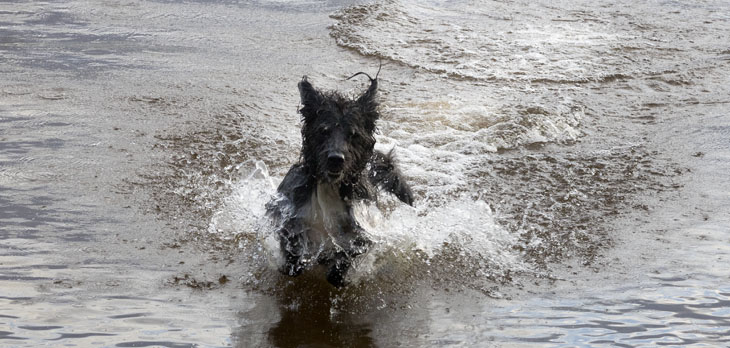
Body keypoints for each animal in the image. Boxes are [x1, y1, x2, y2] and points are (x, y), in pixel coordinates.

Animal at [266, 69, 416, 286]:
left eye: (353, 134)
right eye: (323, 131)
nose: (336, 159)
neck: (330, 187)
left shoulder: (362, 234)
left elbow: (341, 265)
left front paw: (338, 272)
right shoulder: (288, 219)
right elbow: (292, 257)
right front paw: (296, 263)